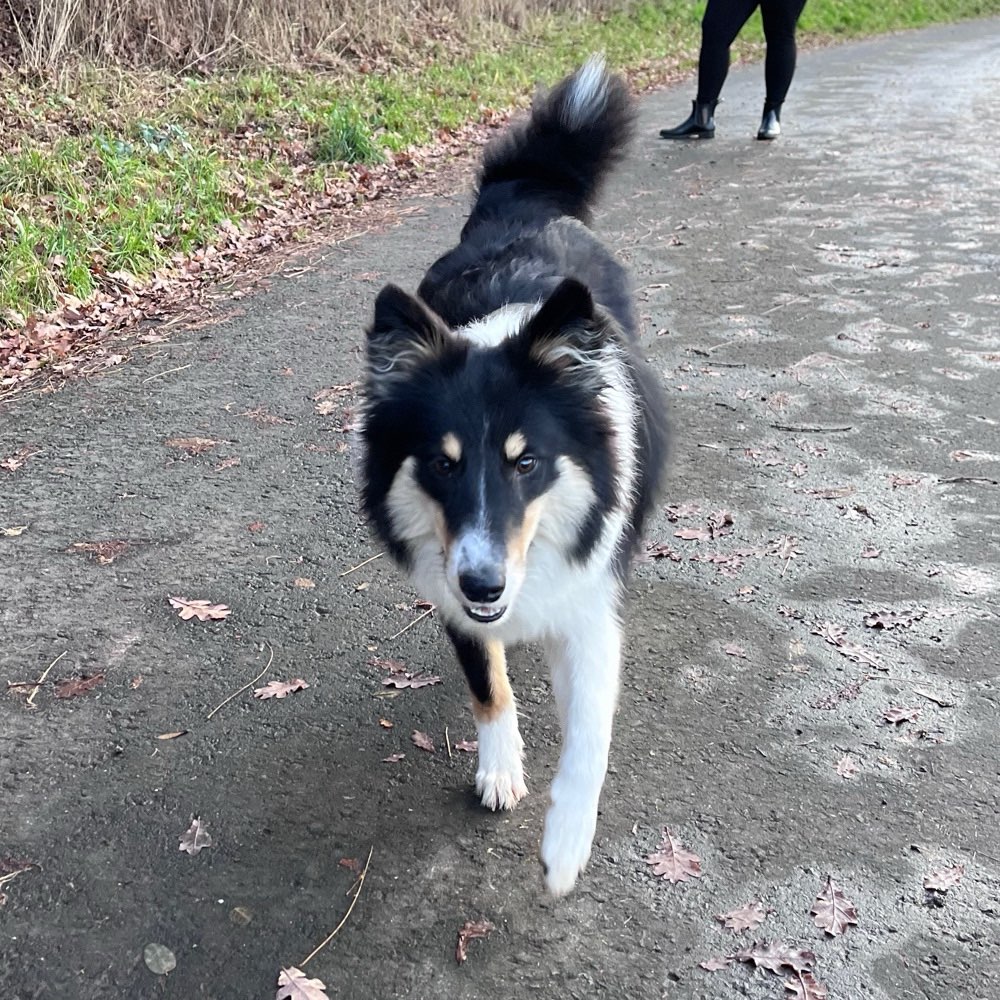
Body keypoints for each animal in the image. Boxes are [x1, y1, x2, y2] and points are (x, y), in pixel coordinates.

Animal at [356, 56, 668, 900]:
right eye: (442, 463)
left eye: (527, 462)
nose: (486, 583)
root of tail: (524, 202)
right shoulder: (451, 587)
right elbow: (488, 686)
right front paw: (499, 770)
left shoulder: (589, 604)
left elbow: (590, 734)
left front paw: (564, 846)